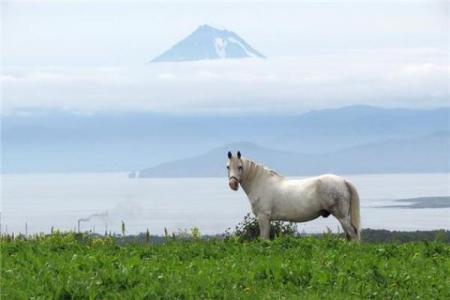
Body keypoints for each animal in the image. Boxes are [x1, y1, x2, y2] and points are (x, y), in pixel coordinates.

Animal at [227, 150, 360, 241]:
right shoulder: (267, 219)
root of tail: (343, 181)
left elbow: (264, 238)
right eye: (228, 167)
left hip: (341, 216)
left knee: (352, 234)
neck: (261, 182)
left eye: (240, 167)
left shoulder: (263, 217)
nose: (233, 184)